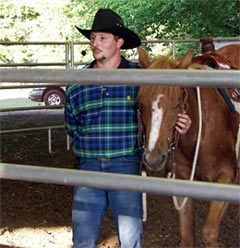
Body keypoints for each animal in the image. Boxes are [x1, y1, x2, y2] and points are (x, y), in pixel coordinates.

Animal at [137, 47, 240, 247]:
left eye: (177, 105)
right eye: (141, 103)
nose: (153, 159)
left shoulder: (226, 178)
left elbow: (209, 233)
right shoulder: (181, 181)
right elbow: (186, 236)